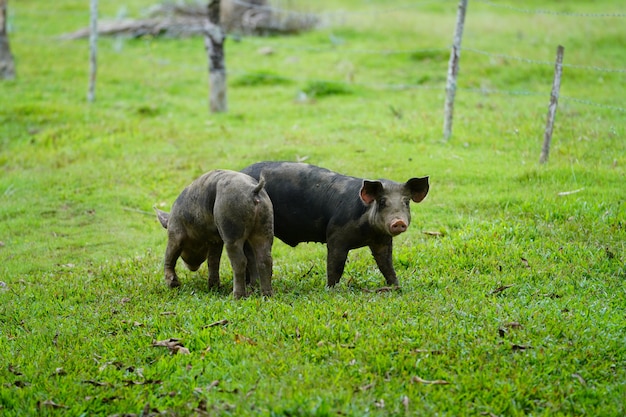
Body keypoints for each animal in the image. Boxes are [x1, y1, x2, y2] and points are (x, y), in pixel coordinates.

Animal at [154, 170, 270, 300]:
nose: (192, 268)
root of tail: (253, 190)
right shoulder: (216, 240)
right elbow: (213, 261)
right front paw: (213, 289)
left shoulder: (175, 232)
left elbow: (170, 255)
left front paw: (174, 285)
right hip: (265, 223)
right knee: (264, 259)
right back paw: (265, 295)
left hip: (231, 224)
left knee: (239, 261)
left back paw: (236, 297)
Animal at [240, 162, 428, 286]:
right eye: (382, 202)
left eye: (406, 202)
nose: (398, 222)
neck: (368, 232)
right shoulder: (336, 235)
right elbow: (335, 264)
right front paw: (332, 289)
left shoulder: (382, 240)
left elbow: (386, 264)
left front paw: (396, 286)